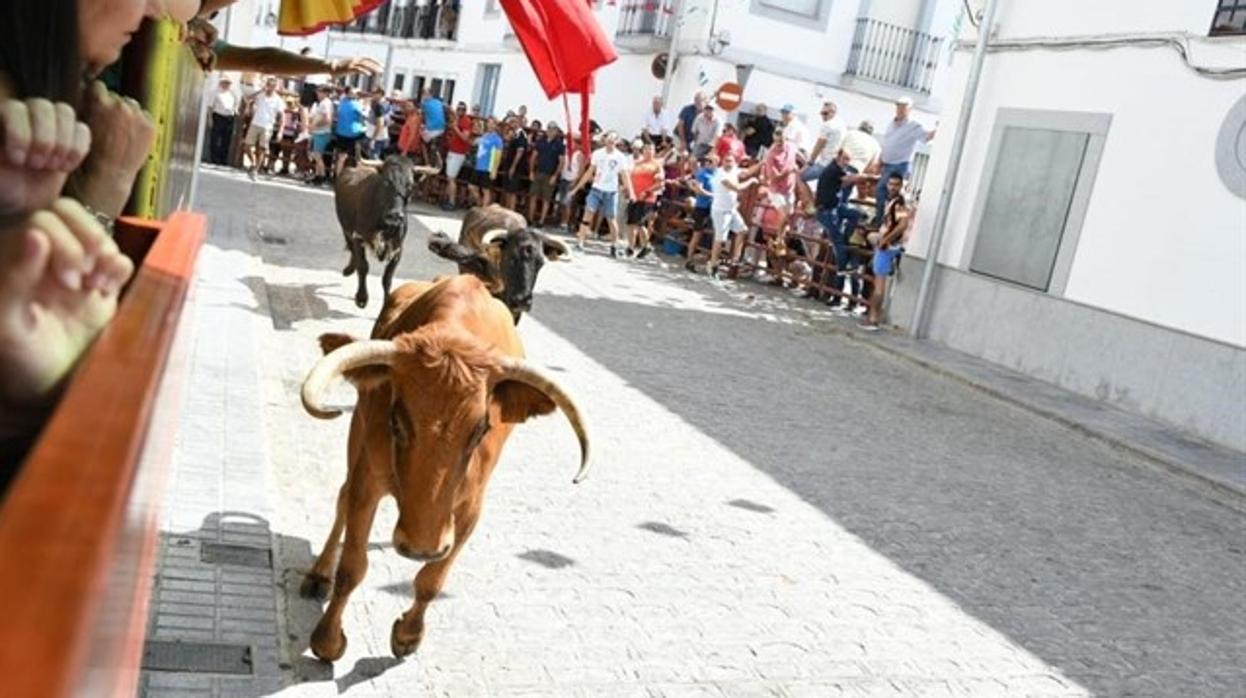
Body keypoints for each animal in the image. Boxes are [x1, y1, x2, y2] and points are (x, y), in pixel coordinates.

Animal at [296, 272, 588, 658]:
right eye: (396, 420)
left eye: (481, 429)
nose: (421, 548)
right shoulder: (367, 481)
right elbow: (352, 567)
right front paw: (327, 640)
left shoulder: (469, 509)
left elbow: (432, 580)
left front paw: (408, 635)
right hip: (356, 434)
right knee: (342, 500)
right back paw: (318, 575)